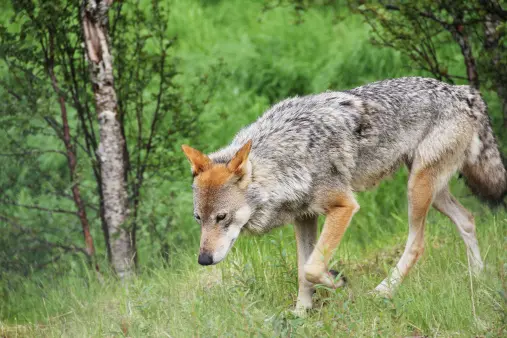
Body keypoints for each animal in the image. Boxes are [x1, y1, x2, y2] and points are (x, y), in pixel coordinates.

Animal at [181, 76, 506, 314]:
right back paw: (478, 276)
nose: (203, 260)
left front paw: (338, 282)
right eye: (198, 219)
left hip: (417, 189)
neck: (288, 157)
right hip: (430, 190)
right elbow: (303, 270)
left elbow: (312, 267)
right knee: (468, 219)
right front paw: (301, 314)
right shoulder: (304, 218)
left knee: (417, 244)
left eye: (221, 217)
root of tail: (463, 92)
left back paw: (383, 290)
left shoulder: (343, 207)